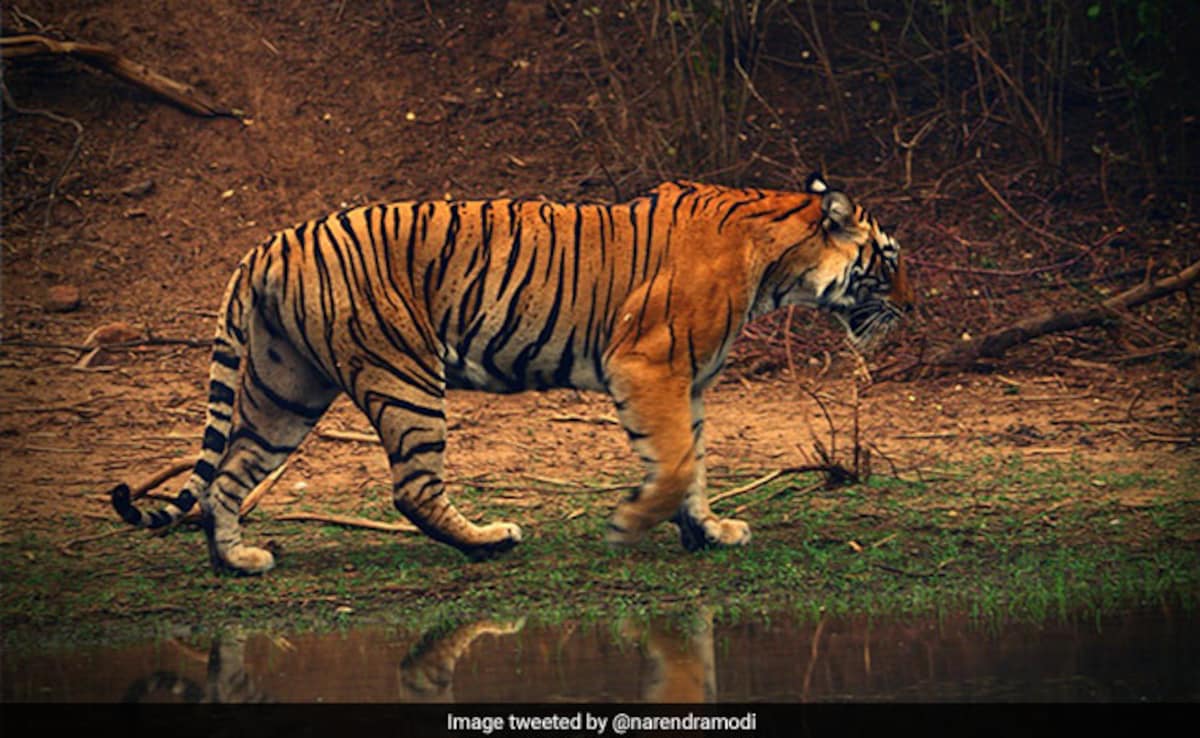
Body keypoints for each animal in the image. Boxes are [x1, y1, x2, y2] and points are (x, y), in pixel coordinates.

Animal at [111, 172, 912, 575]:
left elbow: (693, 463)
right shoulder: (647, 363)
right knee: (411, 488)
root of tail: (270, 243)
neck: (780, 262)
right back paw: (489, 540)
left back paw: (238, 559)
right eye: (890, 258)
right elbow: (677, 463)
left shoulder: (687, 382)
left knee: (228, 476)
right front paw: (631, 524)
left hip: (288, 387)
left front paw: (708, 532)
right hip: (404, 374)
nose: (911, 306)